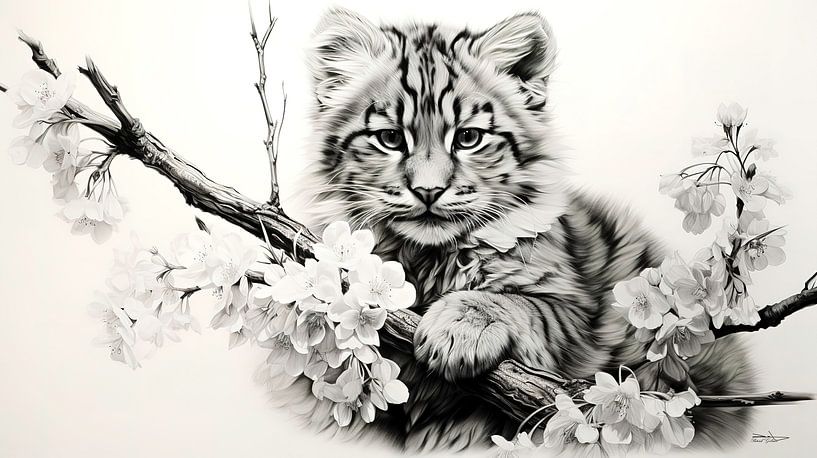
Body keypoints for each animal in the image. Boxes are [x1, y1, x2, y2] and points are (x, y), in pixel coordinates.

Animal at [272, 7, 756, 454]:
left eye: (468, 138)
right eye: (390, 138)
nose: (428, 191)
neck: (428, 259)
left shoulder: (576, 311)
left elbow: (524, 305)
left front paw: (459, 328)